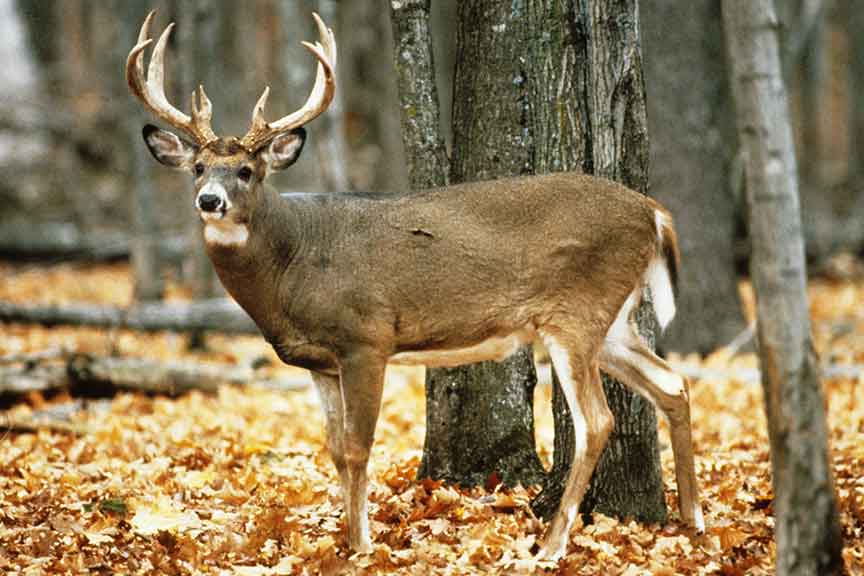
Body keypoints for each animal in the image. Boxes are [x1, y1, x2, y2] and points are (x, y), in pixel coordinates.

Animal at [127, 11, 703, 562]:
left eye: (247, 170)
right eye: (199, 167)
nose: (210, 201)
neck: (292, 260)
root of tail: (654, 213)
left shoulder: (366, 339)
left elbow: (358, 447)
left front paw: (361, 546)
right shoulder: (319, 361)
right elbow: (333, 449)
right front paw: (345, 538)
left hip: (575, 311)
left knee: (597, 420)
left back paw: (552, 544)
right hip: (612, 319)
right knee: (672, 383)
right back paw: (692, 520)